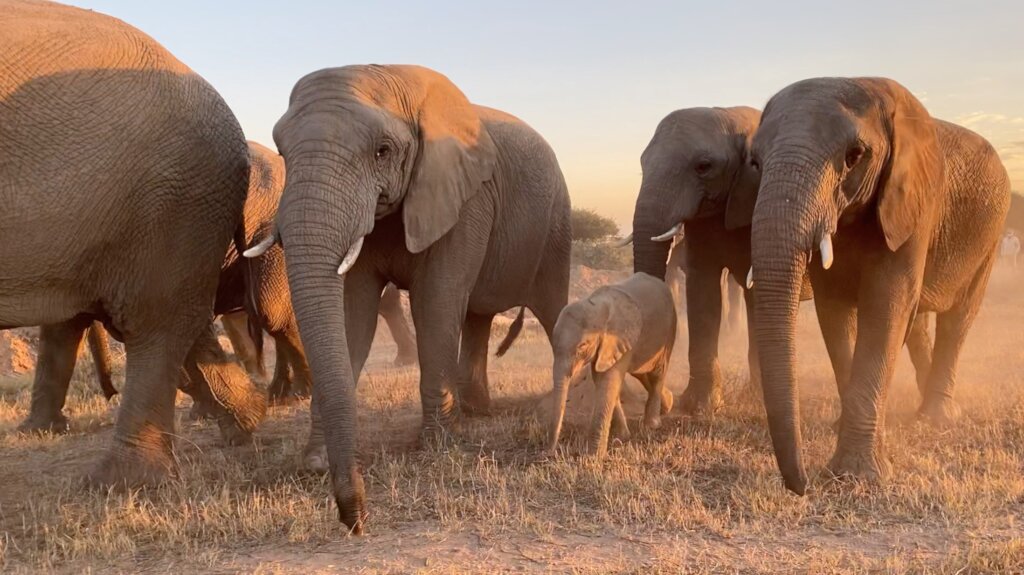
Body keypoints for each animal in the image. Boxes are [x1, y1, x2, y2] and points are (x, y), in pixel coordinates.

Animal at [247, 64, 572, 532]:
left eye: (382, 151)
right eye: (282, 152)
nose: (357, 520)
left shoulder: (465, 197)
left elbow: (435, 300)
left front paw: (436, 448)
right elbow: (353, 312)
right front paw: (316, 460)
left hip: (555, 228)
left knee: (550, 309)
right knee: (476, 316)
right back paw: (476, 412)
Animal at [548, 273, 676, 458]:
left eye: (582, 346)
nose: (550, 452)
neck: (595, 305)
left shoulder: (618, 338)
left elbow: (608, 381)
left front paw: (594, 456)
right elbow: (605, 381)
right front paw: (623, 436)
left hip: (669, 329)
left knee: (657, 373)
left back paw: (652, 424)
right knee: (641, 372)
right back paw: (668, 404)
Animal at [746, 77, 1010, 495]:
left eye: (855, 155)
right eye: (755, 163)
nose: (803, 485)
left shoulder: (915, 201)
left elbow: (887, 304)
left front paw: (855, 476)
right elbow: (835, 311)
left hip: (991, 235)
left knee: (958, 319)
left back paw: (936, 417)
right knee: (917, 322)